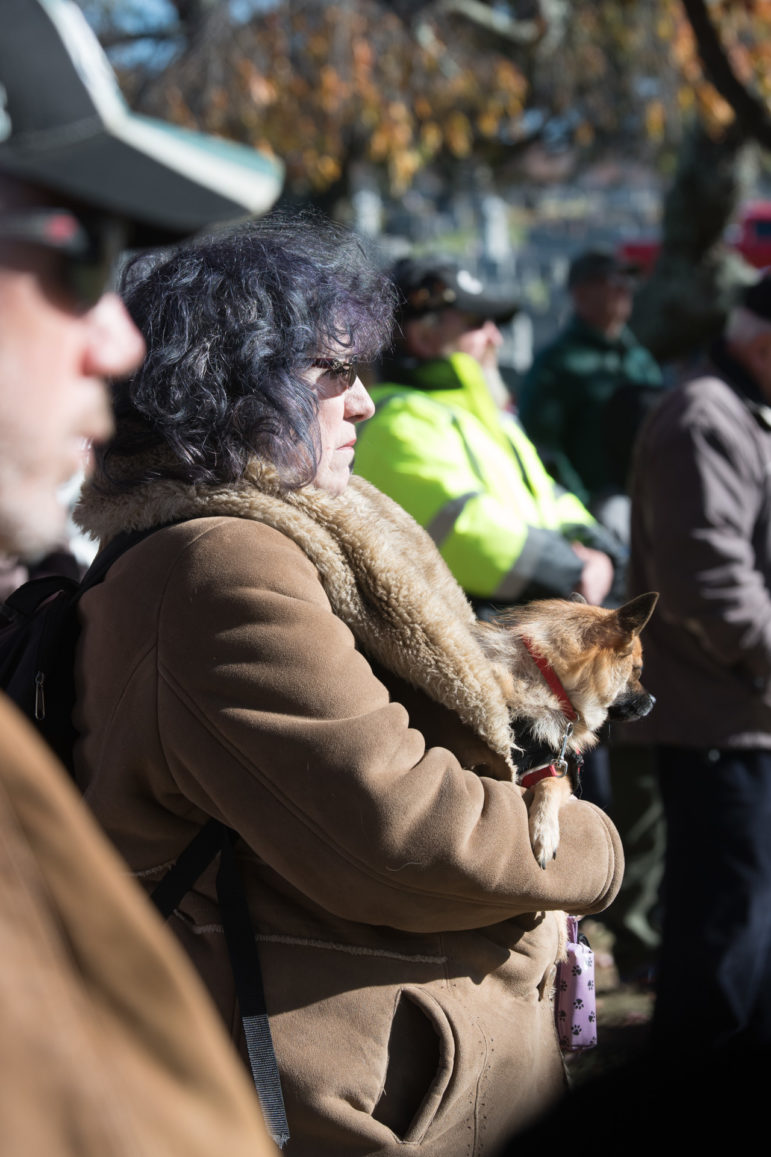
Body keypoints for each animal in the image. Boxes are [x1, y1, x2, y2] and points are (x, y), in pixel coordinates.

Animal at [474, 597, 652, 870]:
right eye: (637, 671)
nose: (653, 701)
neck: (547, 688)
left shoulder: (554, 768)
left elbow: (551, 785)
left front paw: (544, 832)